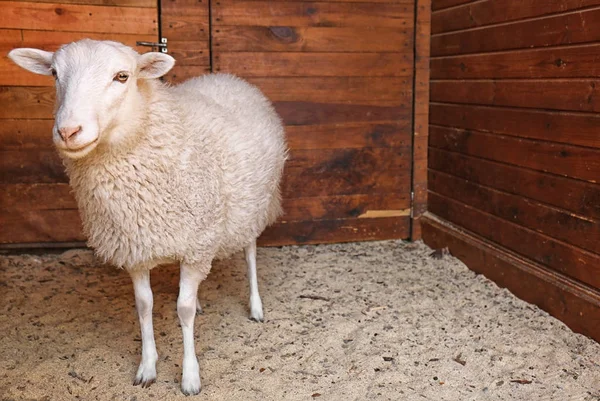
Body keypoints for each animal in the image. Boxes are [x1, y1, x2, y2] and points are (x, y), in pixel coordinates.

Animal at [9, 39, 288, 396]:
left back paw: (255, 307)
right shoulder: (136, 246)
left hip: (251, 206)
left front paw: (190, 376)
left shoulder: (196, 245)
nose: (68, 131)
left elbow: (183, 310)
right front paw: (147, 367)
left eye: (122, 76)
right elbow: (144, 305)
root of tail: (228, 77)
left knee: (250, 252)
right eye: (55, 74)